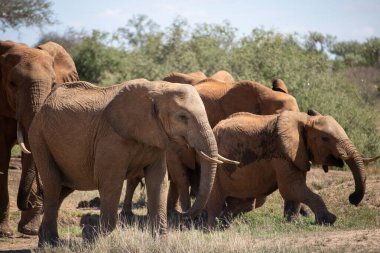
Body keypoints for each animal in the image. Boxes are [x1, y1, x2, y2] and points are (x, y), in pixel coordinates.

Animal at [0, 40, 78, 237]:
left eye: (53, 84)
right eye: (12, 83)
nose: (28, 203)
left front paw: (31, 230)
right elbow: (2, 153)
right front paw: (5, 233)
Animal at [205, 110, 368, 227]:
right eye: (325, 138)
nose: (352, 198)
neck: (305, 120)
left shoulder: (297, 154)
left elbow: (294, 191)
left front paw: (291, 223)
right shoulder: (282, 153)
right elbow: (291, 188)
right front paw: (329, 220)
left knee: (242, 202)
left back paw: (226, 225)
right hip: (214, 165)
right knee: (215, 197)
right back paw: (211, 228)